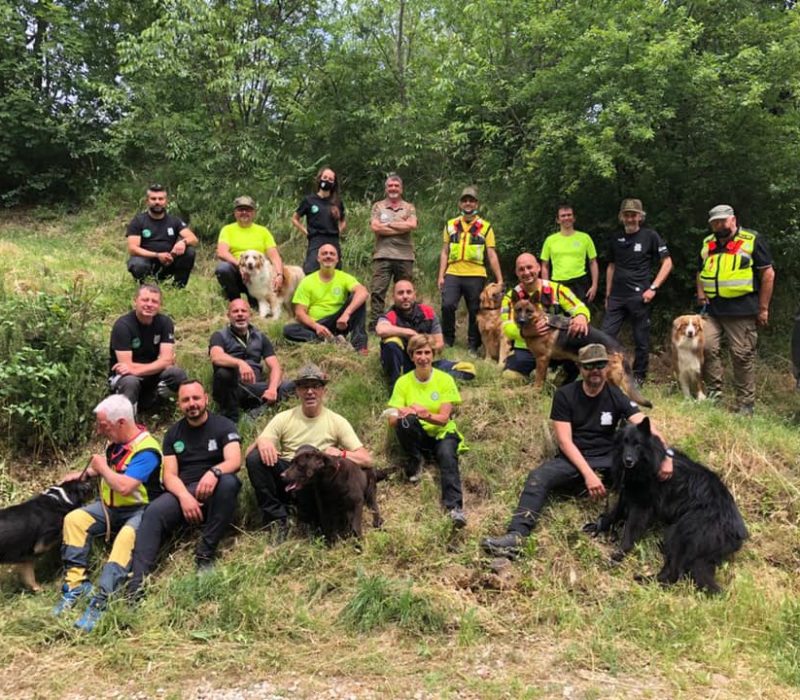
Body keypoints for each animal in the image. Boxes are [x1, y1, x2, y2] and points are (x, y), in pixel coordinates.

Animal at [512, 298, 652, 407]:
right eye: (518, 310)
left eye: (528, 311)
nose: (521, 321)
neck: (540, 322)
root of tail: (620, 349)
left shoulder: (542, 359)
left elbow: (539, 379)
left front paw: (534, 391)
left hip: (608, 378)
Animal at [587, 419, 747, 593]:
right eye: (625, 442)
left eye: (637, 444)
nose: (628, 461)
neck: (647, 463)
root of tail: (738, 531)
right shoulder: (627, 496)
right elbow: (612, 515)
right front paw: (597, 526)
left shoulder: (641, 508)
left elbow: (628, 535)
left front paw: (617, 556)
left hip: (680, 534)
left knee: (673, 573)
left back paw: (645, 580)